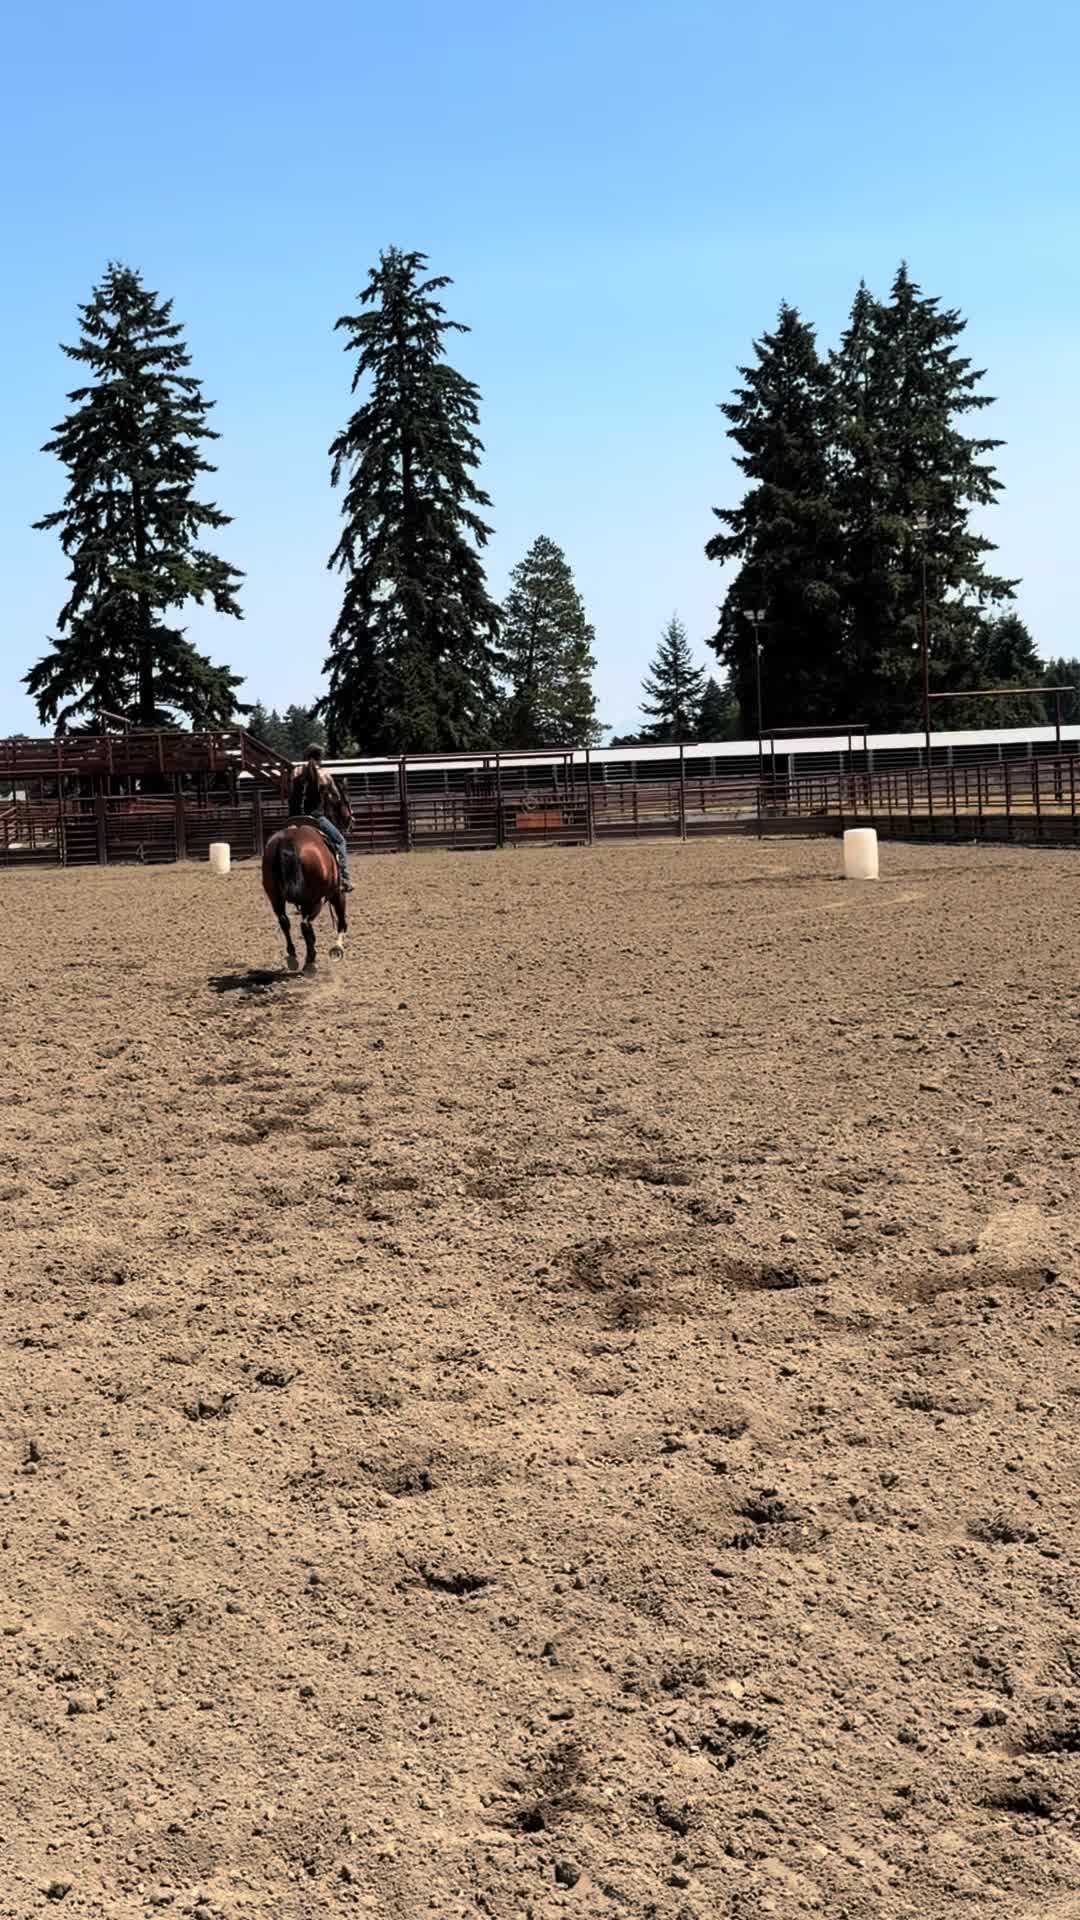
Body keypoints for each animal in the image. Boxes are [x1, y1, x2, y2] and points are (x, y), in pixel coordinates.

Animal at [262, 820, 348, 973]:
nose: (351, 821)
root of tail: (288, 839)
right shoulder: (337, 893)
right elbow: (341, 919)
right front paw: (337, 948)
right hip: (315, 900)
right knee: (305, 924)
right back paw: (310, 962)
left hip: (275, 896)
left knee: (284, 921)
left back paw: (293, 957)